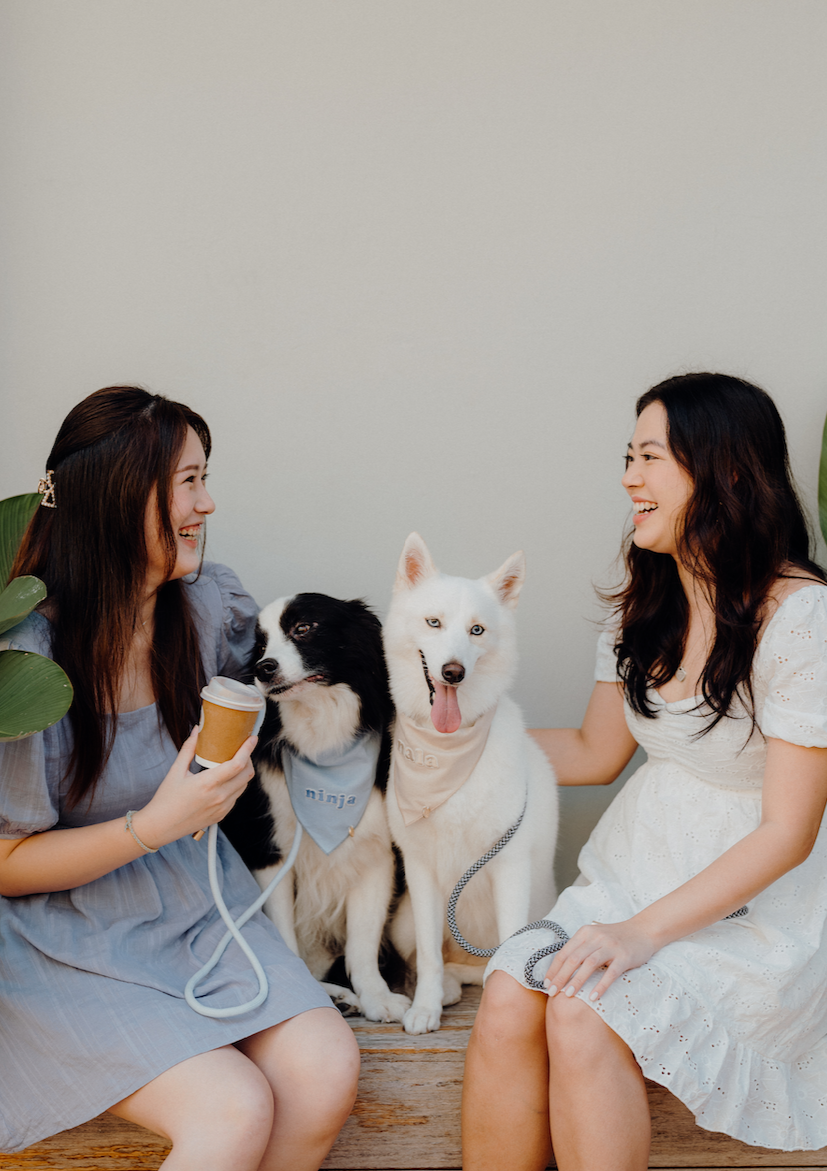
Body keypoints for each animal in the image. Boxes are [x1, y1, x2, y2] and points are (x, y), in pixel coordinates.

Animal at [220, 590, 409, 1021]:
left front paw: (376, 996)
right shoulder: (269, 851)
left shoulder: (376, 852)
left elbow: (363, 938)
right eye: (260, 644)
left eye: (303, 628)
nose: (264, 668)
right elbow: (284, 933)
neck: (324, 744)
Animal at [384, 533, 552, 1035]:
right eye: (434, 623)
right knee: (436, 960)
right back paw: (445, 990)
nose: (453, 672)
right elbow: (429, 958)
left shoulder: (510, 866)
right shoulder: (420, 872)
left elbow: (508, 953)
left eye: (477, 630)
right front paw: (425, 1007)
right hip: (402, 920)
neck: (446, 753)